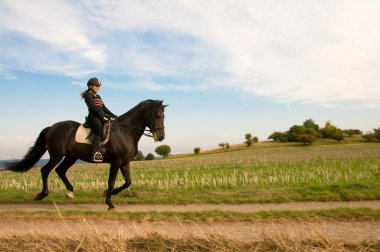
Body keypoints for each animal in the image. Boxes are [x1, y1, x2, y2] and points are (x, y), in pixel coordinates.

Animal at [4, 99, 167, 210]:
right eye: (157, 115)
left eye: (163, 116)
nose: (161, 137)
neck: (125, 131)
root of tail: (52, 127)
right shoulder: (116, 161)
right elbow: (111, 181)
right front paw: (109, 203)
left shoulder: (125, 162)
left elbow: (128, 182)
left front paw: (107, 194)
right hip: (57, 155)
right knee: (45, 170)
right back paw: (42, 194)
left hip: (71, 157)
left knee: (60, 170)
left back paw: (69, 193)